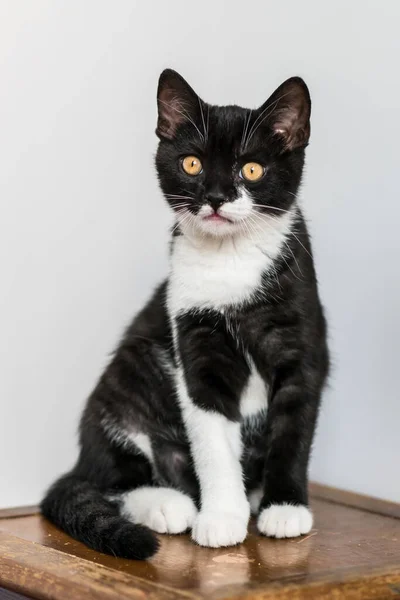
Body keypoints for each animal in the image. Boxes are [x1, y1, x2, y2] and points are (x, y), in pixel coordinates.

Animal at [40, 68, 328, 560]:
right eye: (191, 164)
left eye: (251, 169)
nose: (215, 197)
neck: (230, 262)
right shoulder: (193, 338)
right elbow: (212, 441)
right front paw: (222, 518)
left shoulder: (301, 341)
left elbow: (294, 431)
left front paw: (285, 508)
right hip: (131, 369)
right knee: (112, 480)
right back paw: (170, 505)